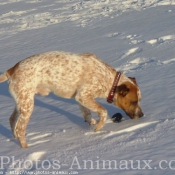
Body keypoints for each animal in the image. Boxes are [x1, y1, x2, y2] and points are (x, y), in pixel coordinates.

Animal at [0, 51, 144, 148]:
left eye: (139, 100)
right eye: (134, 102)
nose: (142, 115)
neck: (109, 80)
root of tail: (13, 68)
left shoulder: (81, 98)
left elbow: (87, 113)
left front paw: (91, 124)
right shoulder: (83, 95)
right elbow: (103, 111)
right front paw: (97, 129)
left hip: (21, 103)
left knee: (12, 120)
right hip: (27, 106)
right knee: (20, 129)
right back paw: (27, 149)